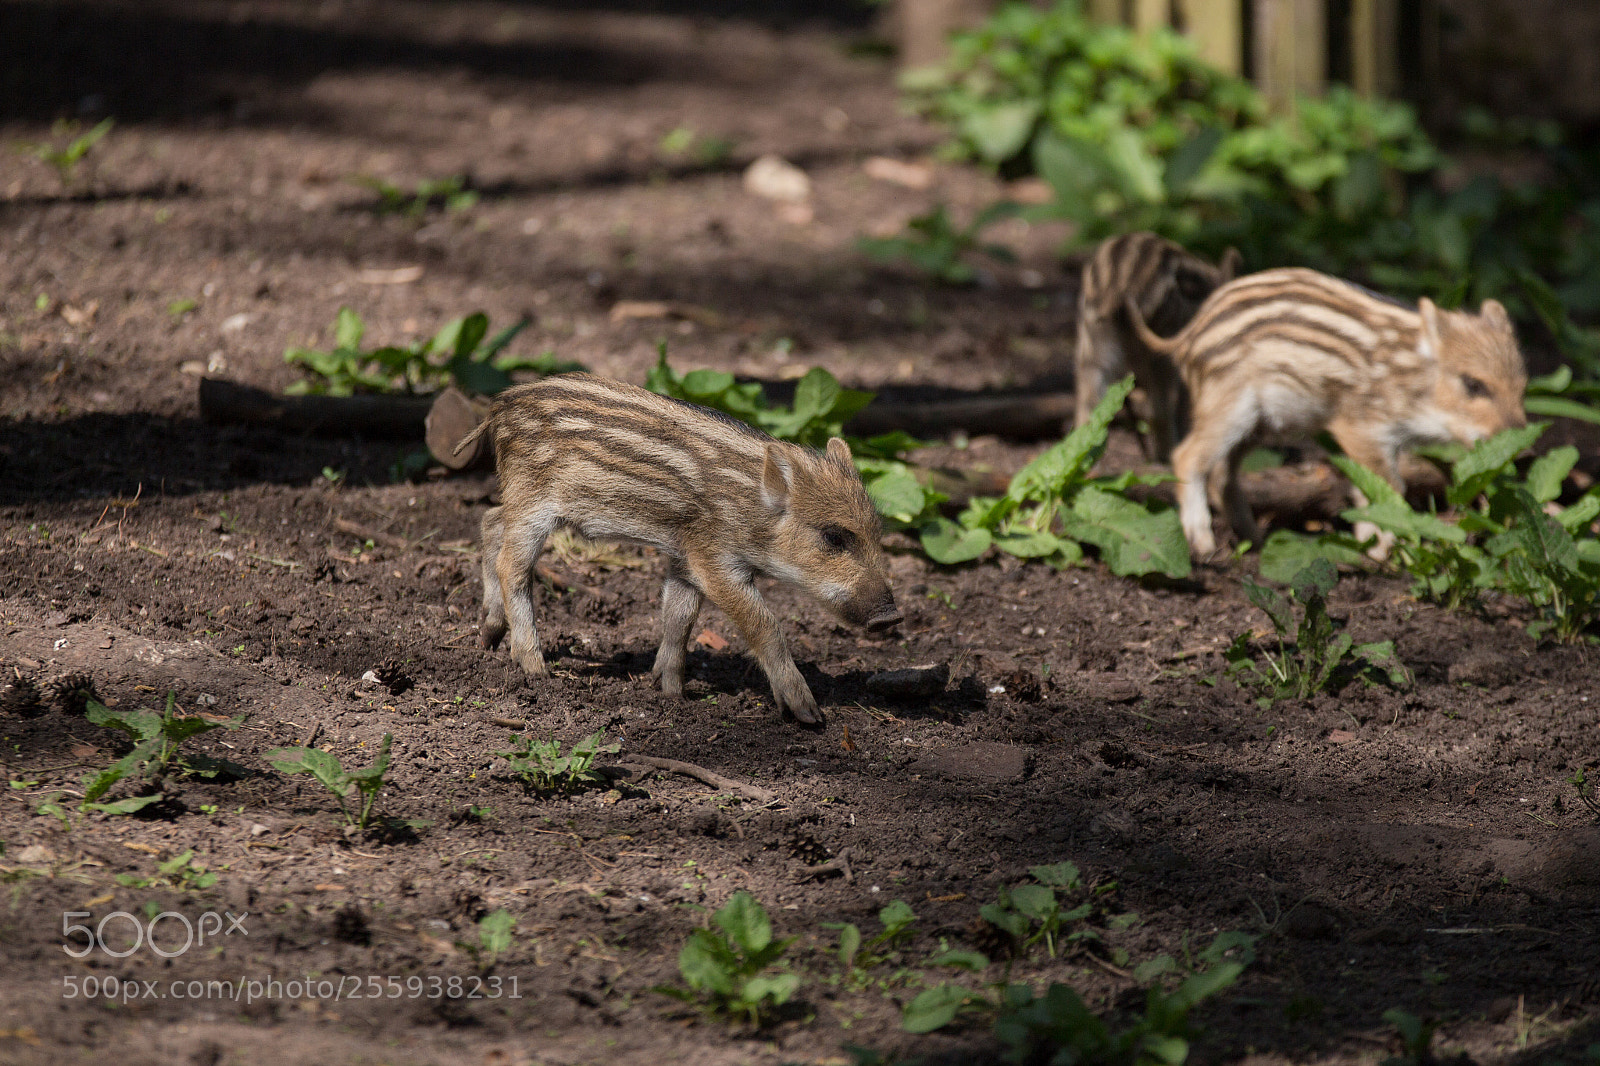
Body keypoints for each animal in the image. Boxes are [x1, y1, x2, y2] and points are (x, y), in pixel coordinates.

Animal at [455, 373, 902, 723]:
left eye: (876, 532)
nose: (891, 617)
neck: (749, 507)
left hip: (521, 500)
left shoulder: (684, 557)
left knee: (490, 522)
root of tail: (500, 405)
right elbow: (766, 626)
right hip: (534, 502)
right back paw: (535, 669)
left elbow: (679, 617)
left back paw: (489, 636)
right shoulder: (715, 561)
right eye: (833, 537)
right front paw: (808, 713)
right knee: (512, 566)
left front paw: (671, 693)